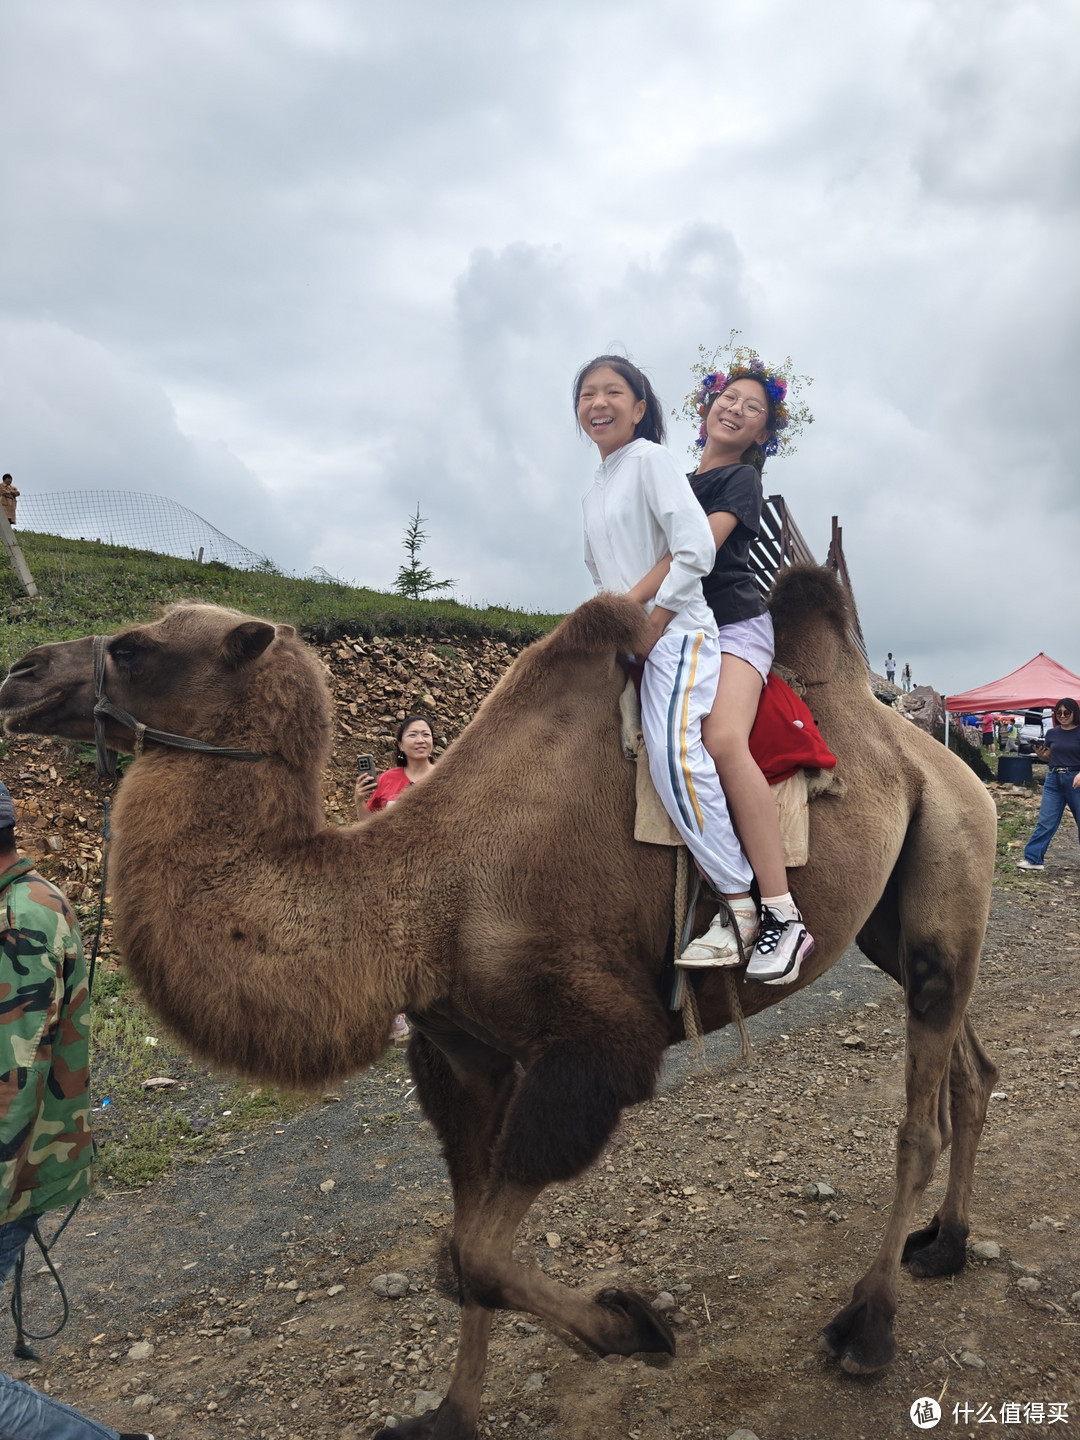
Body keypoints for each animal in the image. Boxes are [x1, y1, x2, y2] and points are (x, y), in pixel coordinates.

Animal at [0, 567, 996, 1440]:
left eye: (135, 649)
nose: (21, 671)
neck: (417, 900)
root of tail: (935, 753)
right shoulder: (461, 1055)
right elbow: (462, 1250)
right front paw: (449, 1416)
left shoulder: (595, 1049)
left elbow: (473, 1254)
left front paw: (634, 1327)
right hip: (894, 918)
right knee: (971, 1071)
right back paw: (944, 1245)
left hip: (950, 859)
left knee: (920, 1117)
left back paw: (866, 1327)